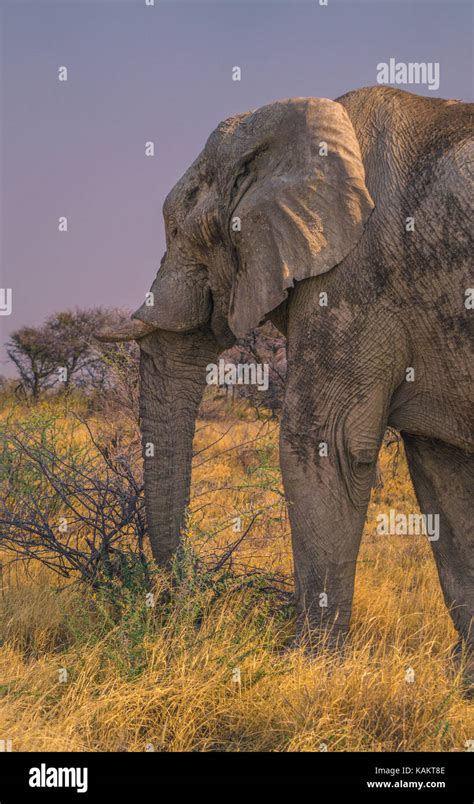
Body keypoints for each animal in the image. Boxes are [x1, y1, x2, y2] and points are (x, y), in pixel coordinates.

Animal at [97, 86, 474, 680]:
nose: (185, 611)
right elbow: (445, 474)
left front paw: (308, 668)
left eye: (180, 231)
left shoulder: (353, 279)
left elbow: (327, 445)